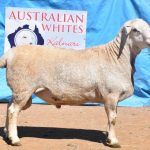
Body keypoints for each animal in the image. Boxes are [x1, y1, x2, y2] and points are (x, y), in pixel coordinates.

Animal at [0, 18, 150, 147]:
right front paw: (113, 141)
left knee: (8, 106)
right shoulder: (111, 94)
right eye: (135, 30)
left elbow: (111, 118)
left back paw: (7, 134)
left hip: (18, 90)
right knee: (13, 111)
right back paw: (14, 139)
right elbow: (113, 118)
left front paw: (108, 138)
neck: (116, 57)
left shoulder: (113, 98)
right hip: (23, 88)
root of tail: (8, 55)